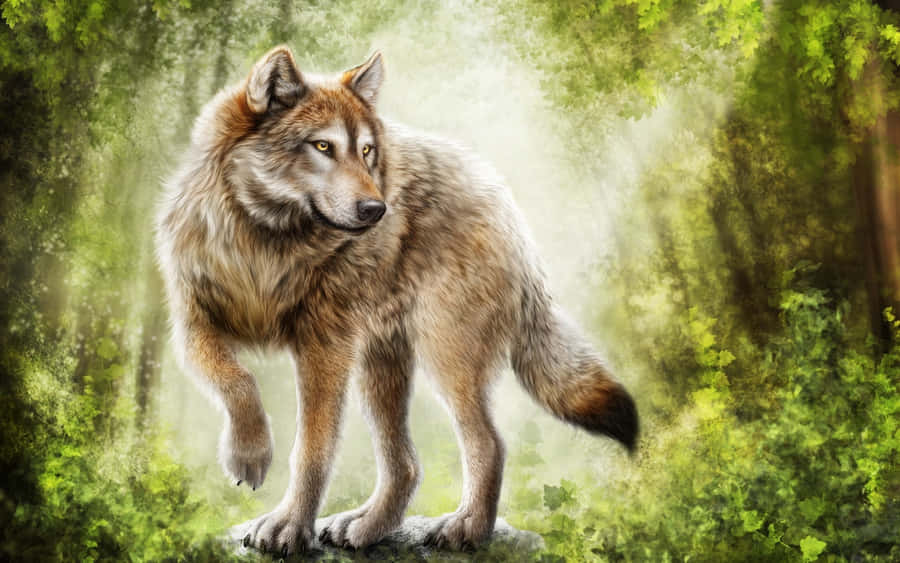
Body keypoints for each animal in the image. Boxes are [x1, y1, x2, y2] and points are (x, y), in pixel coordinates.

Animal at [155, 45, 638, 555]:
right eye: (322, 147)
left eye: (366, 151)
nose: (377, 210)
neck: (264, 244)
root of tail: (506, 207)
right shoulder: (192, 329)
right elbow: (238, 381)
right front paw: (248, 456)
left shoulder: (323, 349)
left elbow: (312, 450)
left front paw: (288, 525)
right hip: (380, 367)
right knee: (406, 465)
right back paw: (366, 526)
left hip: (442, 358)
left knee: (488, 444)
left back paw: (466, 528)